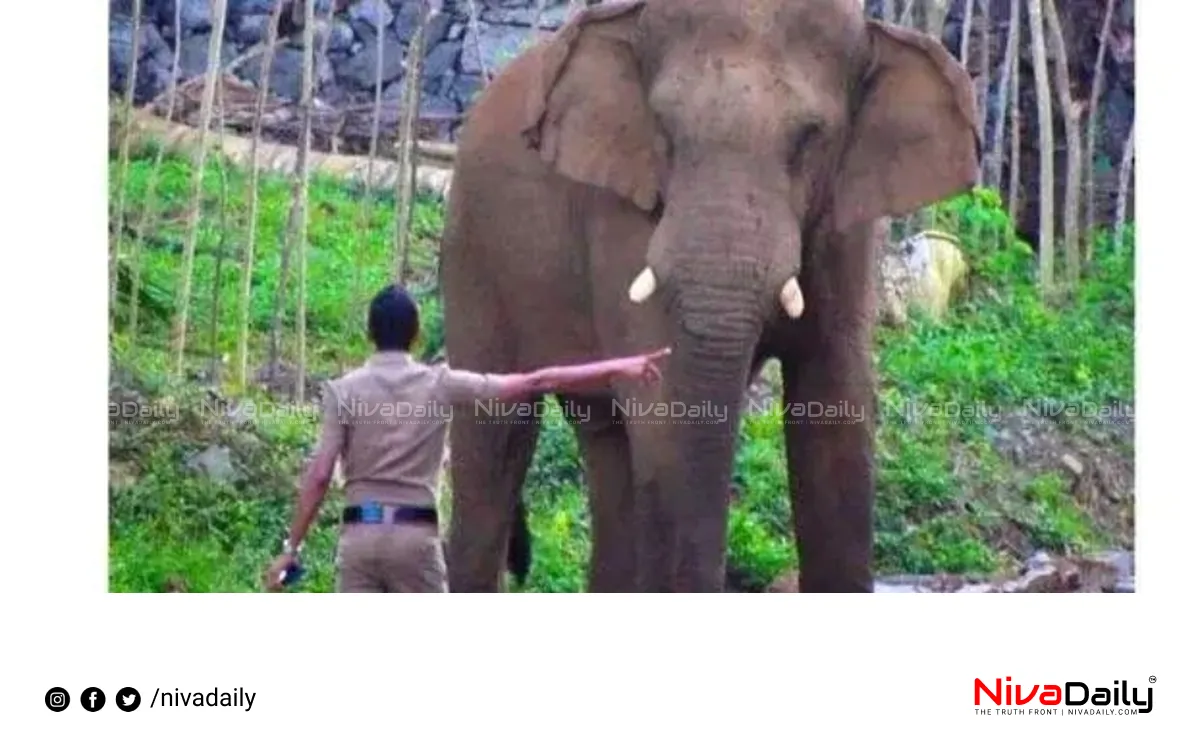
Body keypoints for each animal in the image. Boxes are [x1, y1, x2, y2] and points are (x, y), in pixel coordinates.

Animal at [437, 0, 980, 589]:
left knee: (606, 443)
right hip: (473, 249)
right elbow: (663, 413)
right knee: (496, 440)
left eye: (810, 138)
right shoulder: (624, 213)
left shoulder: (848, 229)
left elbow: (837, 411)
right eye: (665, 130)